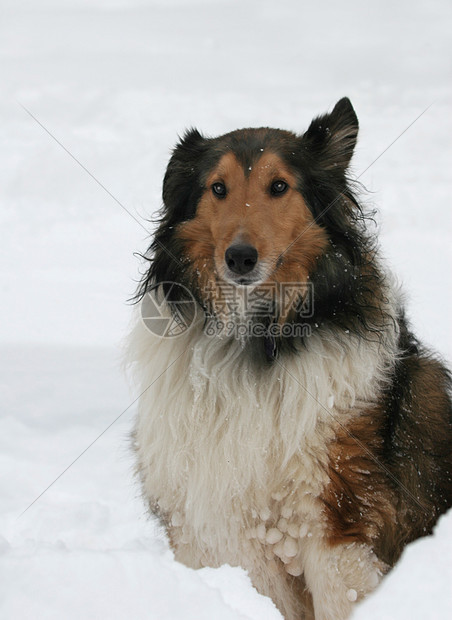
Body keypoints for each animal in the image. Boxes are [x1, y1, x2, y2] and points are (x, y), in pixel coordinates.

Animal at [128, 99, 452, 616]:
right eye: (217, 188)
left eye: (279, 186)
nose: (240, 258)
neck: (256, 343)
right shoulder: (228, 530)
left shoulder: (335, 520)